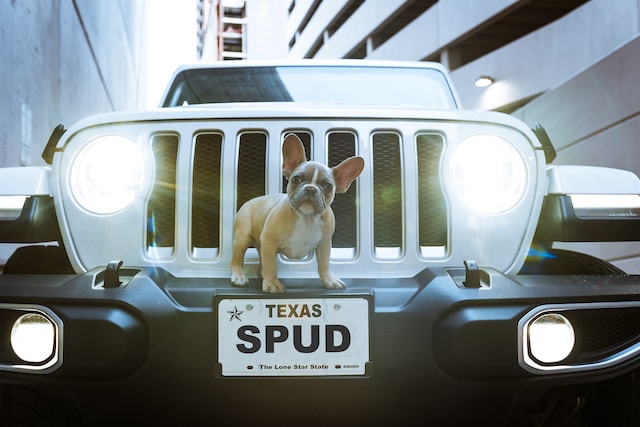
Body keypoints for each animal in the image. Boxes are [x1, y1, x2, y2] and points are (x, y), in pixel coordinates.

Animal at [230, 135, 362, 294]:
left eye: (328, 186)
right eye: (296, 179)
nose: (311, 189)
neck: (307, 218)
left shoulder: (324, 243)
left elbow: (324, 263)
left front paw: (329, 279)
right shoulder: (269, 241)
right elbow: (271, 265)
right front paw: (272, 283)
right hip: (242, 237)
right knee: (237, 258)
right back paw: (239, 276)